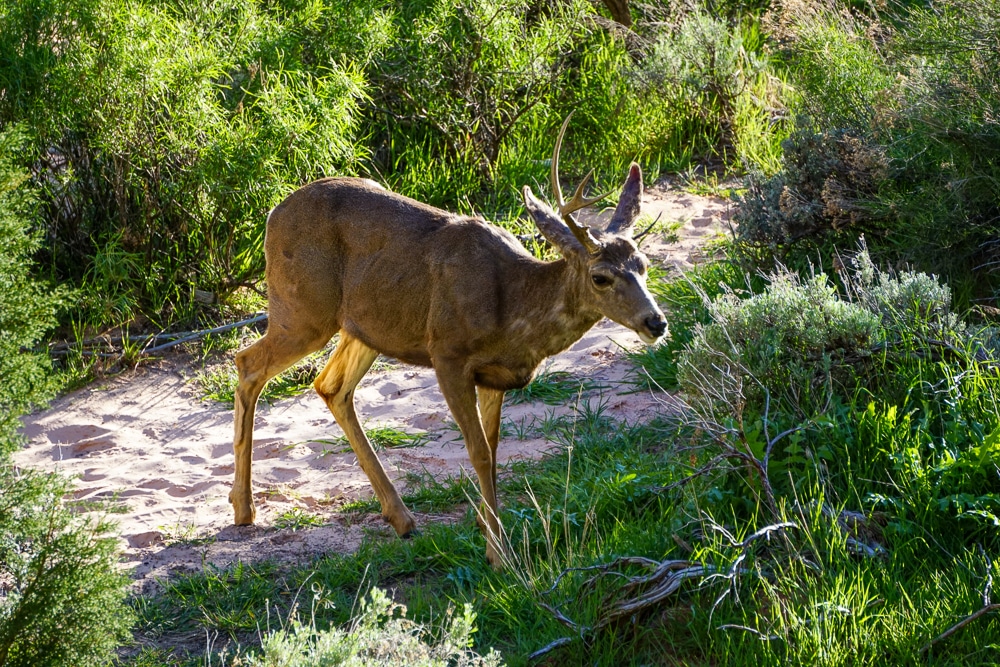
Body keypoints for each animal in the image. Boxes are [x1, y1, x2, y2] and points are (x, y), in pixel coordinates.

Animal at [229, 115, 667, 567]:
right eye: (601, 277)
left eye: (644, 264)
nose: (656, 322)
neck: (513, 307)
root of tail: (271, 215)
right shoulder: (448, 354)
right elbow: (478, 452)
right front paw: (499, 553)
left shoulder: (493, 376)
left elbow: (493, 450)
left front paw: (488, 528)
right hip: (303, 310)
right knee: (248, 364)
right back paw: (244, 508)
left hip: (365, 326)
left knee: (330, 386)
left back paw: (401, 517)